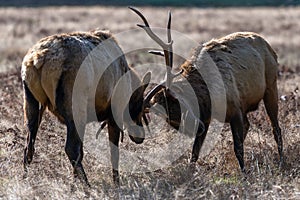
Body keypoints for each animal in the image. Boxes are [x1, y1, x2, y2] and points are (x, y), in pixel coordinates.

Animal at [21, 28, 150, 185]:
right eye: (140, 106)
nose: (140, 137)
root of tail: (38, 60)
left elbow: (82, 151)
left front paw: (73, 183)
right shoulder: (114, 112)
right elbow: (114, 151)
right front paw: (117, 183)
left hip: (31, 101)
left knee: (29, 146)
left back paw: (25, 179)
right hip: (75, 106)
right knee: (70, 148)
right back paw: (87, 185)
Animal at [129, 7, 284, 172]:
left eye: (176, 101)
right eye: (166, 117)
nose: (199, 128)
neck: (209, 98)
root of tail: (270, 48)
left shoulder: (234, 108)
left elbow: (238, 148)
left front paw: (244, 172)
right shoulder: (207, 117)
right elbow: (194, 154)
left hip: (271, 86)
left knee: (276, 128)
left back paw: (282, 161)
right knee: (249, 125)